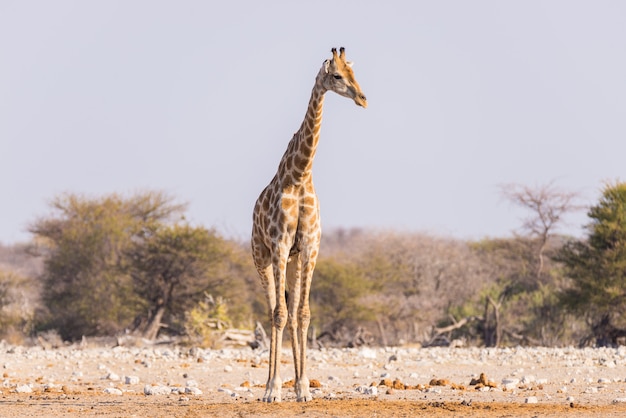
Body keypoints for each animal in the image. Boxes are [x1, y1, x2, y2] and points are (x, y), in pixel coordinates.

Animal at [250, 47, 366, 404]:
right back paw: (269, 387)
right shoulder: (280, 244)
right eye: (337, 76)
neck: (300, 176)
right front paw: (273, 389)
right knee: (273, 311)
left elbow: (302, 314)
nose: (363, 99)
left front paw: (303, 387)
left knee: (292, 313)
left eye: (355, 73)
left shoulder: (310, 248)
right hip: (262, 257)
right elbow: (279, 313)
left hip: (293, 261)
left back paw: (297, 385)